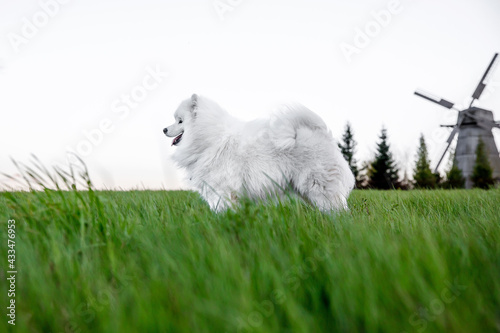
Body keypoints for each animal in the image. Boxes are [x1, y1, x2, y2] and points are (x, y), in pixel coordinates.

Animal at [162, 94, 354, 211]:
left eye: (180, 121)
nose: (164, 129)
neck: (209, 139)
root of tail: (321, 132)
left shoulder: (222, 191)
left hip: (319, 187)